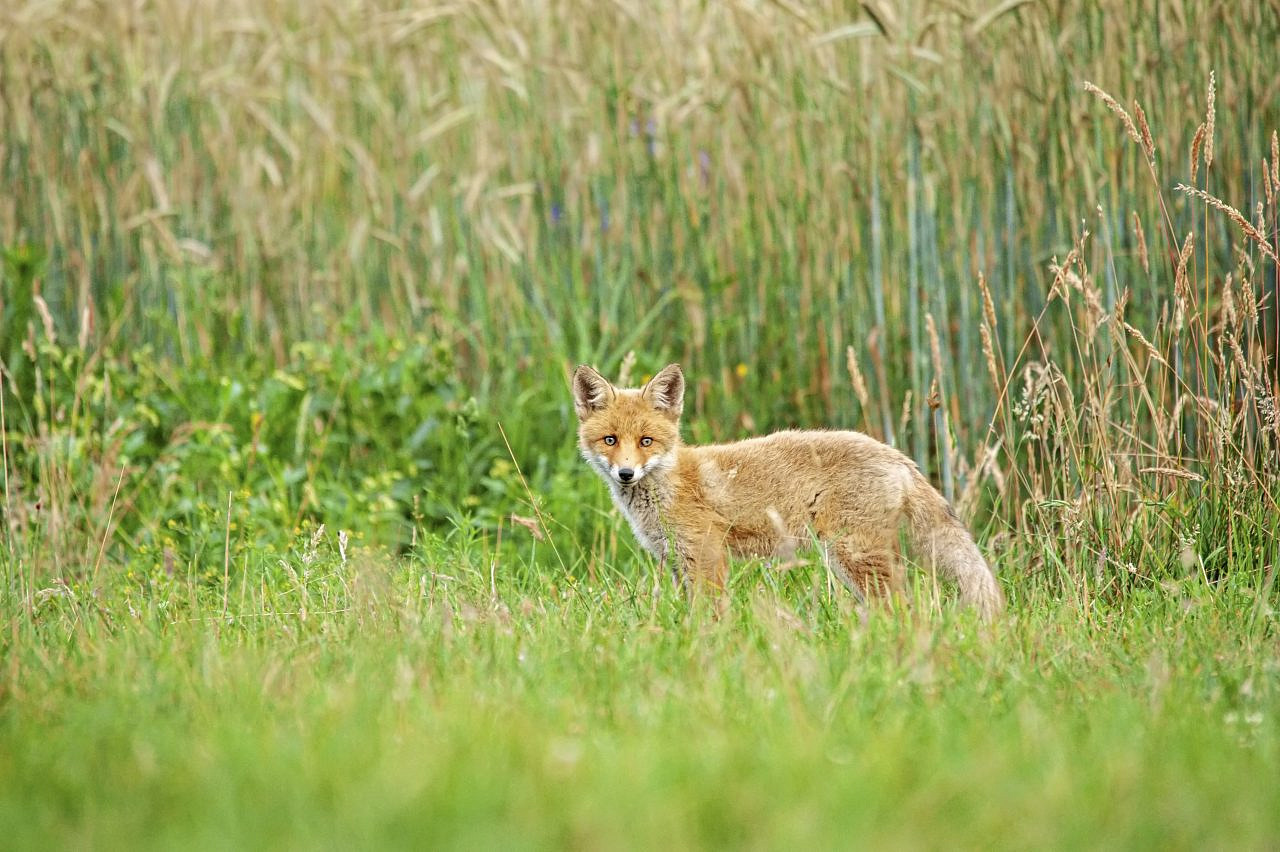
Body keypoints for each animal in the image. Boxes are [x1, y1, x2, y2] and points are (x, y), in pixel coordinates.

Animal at [572, 363, 1003, 619]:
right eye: (611, 440)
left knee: (902, 607)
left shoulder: (707, 554)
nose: (626, 473)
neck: (669, 487)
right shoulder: (677, 562)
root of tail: (895, 454)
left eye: (646, 441)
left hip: (852, 555)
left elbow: (710, 616)